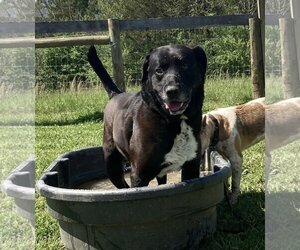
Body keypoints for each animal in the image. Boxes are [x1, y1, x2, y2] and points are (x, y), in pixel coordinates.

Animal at [88, 44, 207, 188]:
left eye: (185, 66)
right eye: (159, 70)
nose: (172, 91)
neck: (174, 121)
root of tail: (116, 94)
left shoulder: (191, 168)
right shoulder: (139, 176)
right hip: (112, 165)